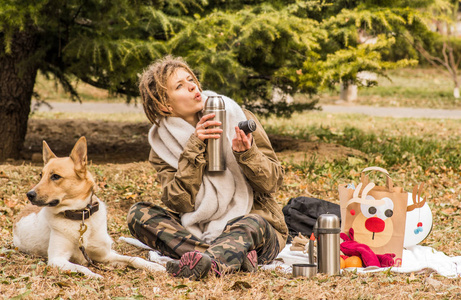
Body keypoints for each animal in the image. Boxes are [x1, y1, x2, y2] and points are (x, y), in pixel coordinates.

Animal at [13, 137, 165, 278]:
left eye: (55, 176)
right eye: (41, 175)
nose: (29, 194)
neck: (79, 215)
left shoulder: (105, 255)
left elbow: (134, 258)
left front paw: (153, 266)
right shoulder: (57, 259)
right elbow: (82, 268)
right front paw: (95, 276)